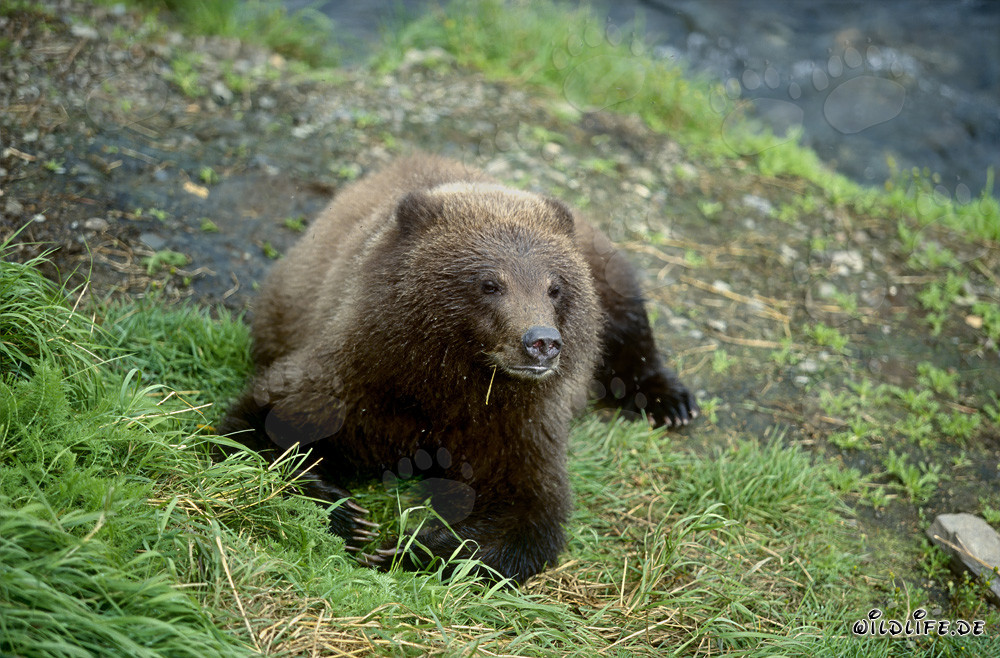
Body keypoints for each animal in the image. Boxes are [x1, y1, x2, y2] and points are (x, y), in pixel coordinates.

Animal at [219, 154, 698, 584]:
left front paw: (410, 548)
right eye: (490, 283)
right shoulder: (355, 381)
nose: (542, 342)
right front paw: (350, 517)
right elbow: (261, 425)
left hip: (604, 269)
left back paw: (671, 401)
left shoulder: (515, 425)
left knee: (628, 318)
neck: (450, 382)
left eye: (554, 286)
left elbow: (527, 513)